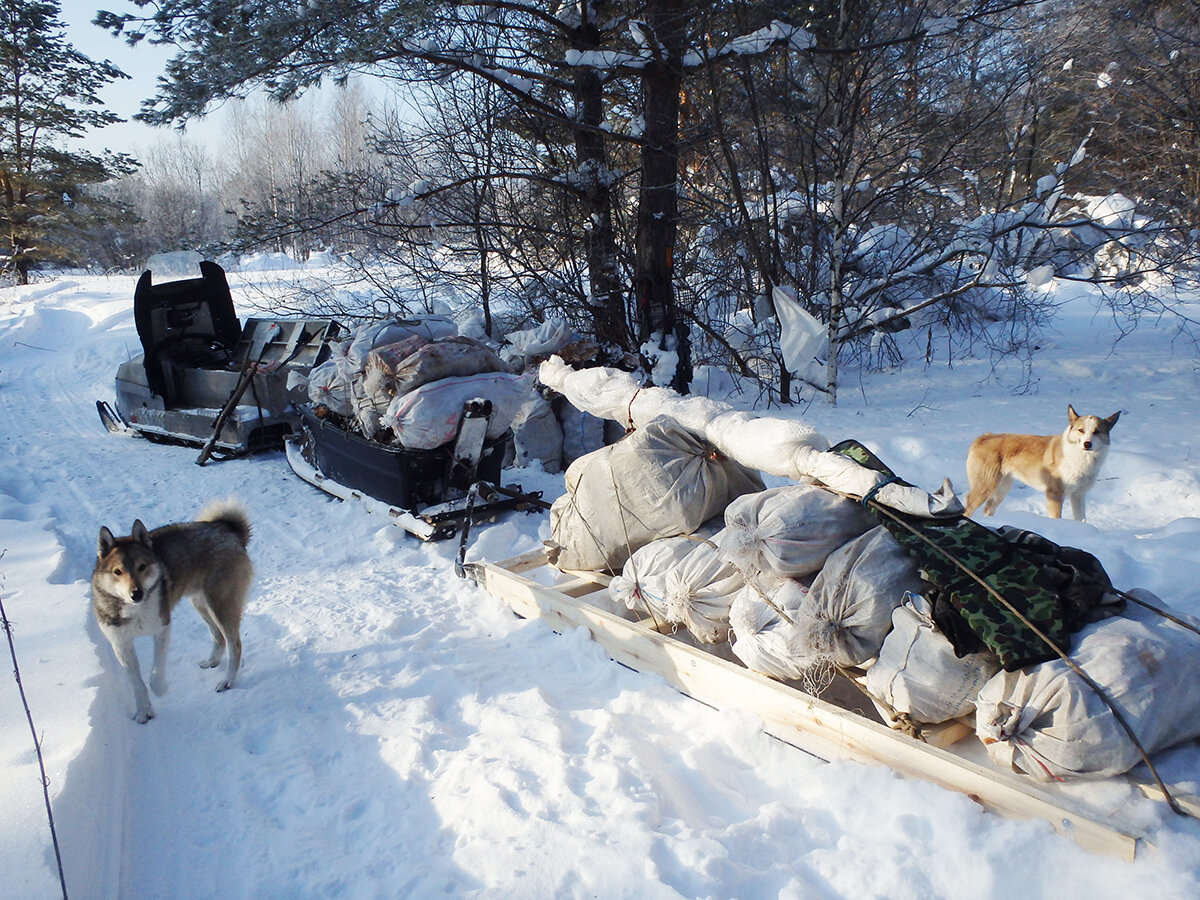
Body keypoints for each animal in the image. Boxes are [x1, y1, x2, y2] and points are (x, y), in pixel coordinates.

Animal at [93, 504, 253, 724]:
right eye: (117, 571)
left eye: (142, 567)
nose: (136, 593)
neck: (135, 609)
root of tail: (229, 530)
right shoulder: (120, 643)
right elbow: (137, 684)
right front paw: (143, 711)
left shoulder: (162, 628)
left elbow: (155, 671)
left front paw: (160, 689)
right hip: (201, 603)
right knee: (218, 636)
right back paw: (212, 661)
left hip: (220, 604)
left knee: (235, 645)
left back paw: (227, 681)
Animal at [960, 408, 1118, 525]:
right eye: (1081, 430)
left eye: (1097, 431)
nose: (1087, 444)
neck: (1079, 457)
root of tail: (983, 437)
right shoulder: (1054, 494)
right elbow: (1056, 517)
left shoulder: (1078, 494)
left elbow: (1081, 519)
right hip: (985, 486)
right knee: (968, 509)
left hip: (1002, 488)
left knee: (988, 508)